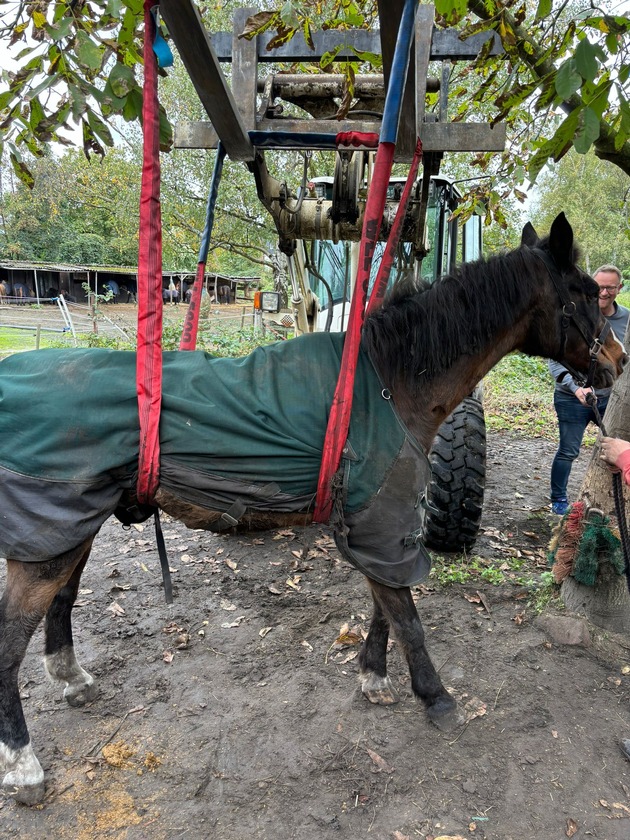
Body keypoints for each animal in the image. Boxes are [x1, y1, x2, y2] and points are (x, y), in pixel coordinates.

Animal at [2, 213, 628, 804]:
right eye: (581, 293)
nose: (618, 361)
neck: (388, 383)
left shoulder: (386, 524)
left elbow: (387, 607)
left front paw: (374, 677)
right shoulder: (380, 521)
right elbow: (407, 617)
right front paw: (436, 698)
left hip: (69, 529)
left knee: (62, 603)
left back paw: (72, 678)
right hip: (46, 541)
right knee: (9, 643)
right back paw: (25, 764)